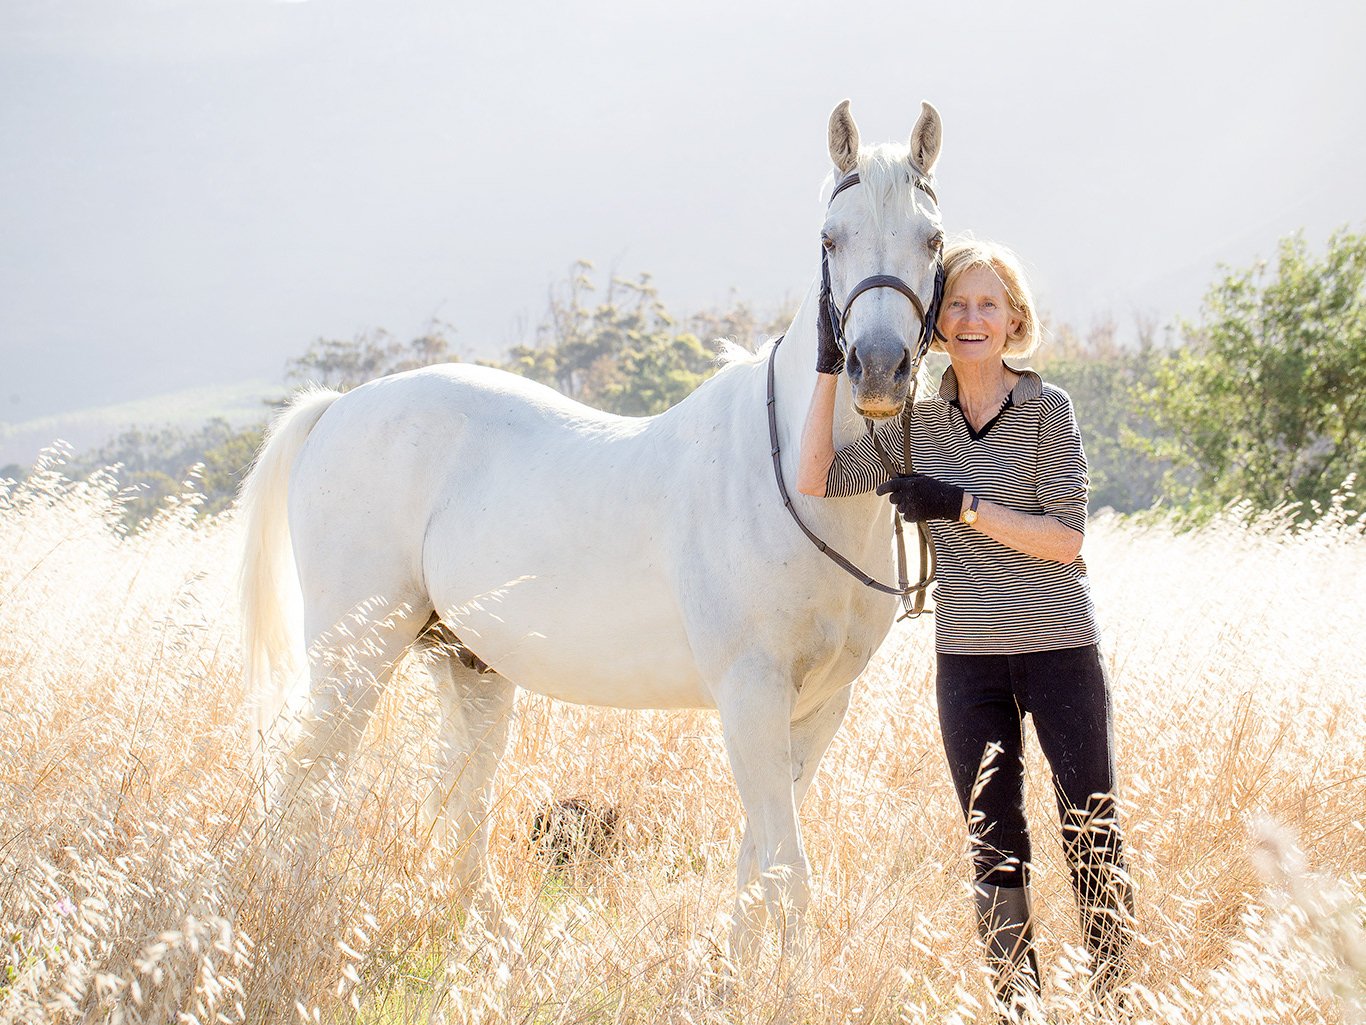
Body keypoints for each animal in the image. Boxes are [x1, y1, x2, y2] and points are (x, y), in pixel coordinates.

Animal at [238, 98, 945, 962]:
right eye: (830, 238)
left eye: (931, 239)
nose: (877, 370)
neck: (802, 478)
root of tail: (338, 407)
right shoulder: (750, 696)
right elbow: (787, 861)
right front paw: (788, 976)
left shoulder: (816, 707)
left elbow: (760, 855)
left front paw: (742, 969)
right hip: (354, 658)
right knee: (307, 784)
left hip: (468, 667)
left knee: (460, 809)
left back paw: (493, 950)